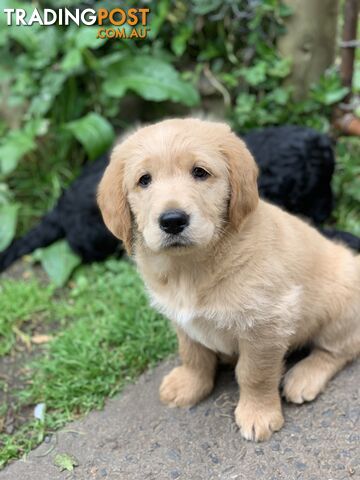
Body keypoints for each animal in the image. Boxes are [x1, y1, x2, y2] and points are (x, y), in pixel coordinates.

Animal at [96, 118, 360, 440]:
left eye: (200, 172)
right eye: (144, 180)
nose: (172, 221)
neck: (191, 267)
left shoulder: (265, 326)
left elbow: (254, 374)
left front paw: (258, 414)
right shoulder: (182, 320)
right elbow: (192, 354)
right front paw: (190, 384)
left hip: (341, 306)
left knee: (339, 350)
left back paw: (304, 376)